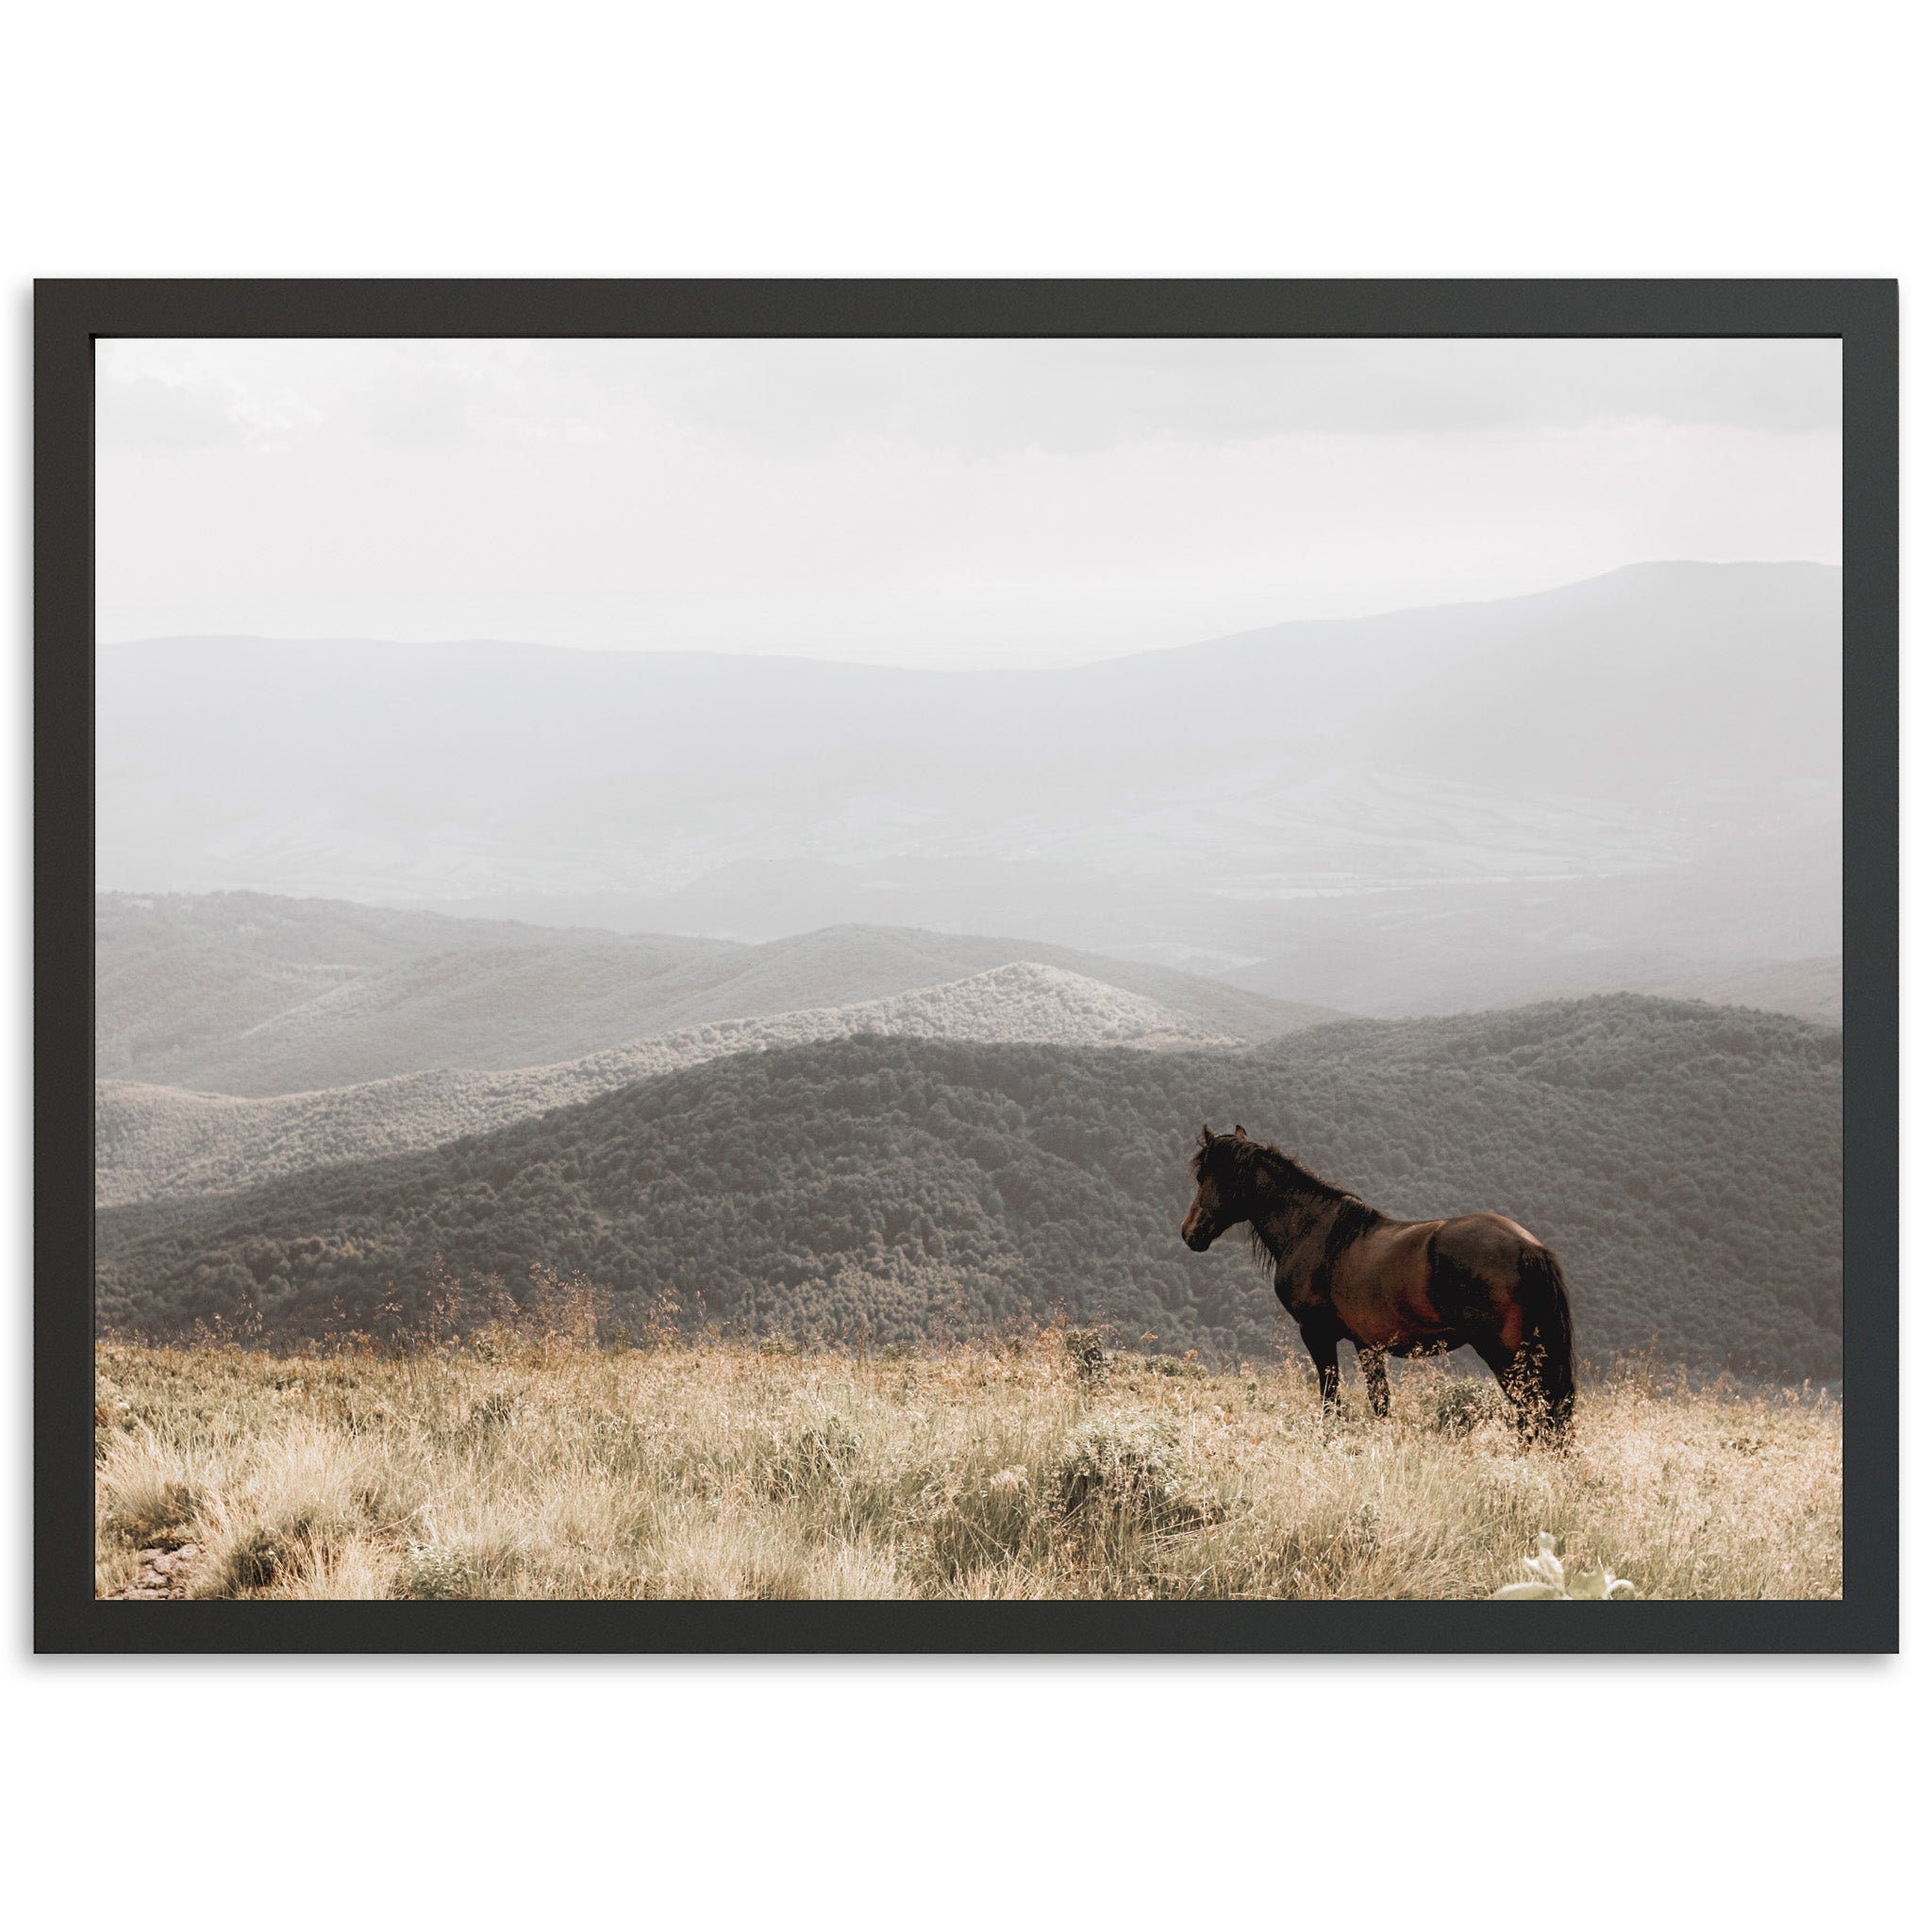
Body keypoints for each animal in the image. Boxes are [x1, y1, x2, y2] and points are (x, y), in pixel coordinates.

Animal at [1174, 1128, 1568, 1444]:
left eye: (1205, 1175)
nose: (1189, 1232)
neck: (1314, 1231)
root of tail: (1528, 1247)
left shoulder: (1316, 1334)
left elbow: (1330, 1397)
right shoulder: (1368, 1346)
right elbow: (1379, 1403)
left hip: (1507, 1356)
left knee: (1534, 1415)